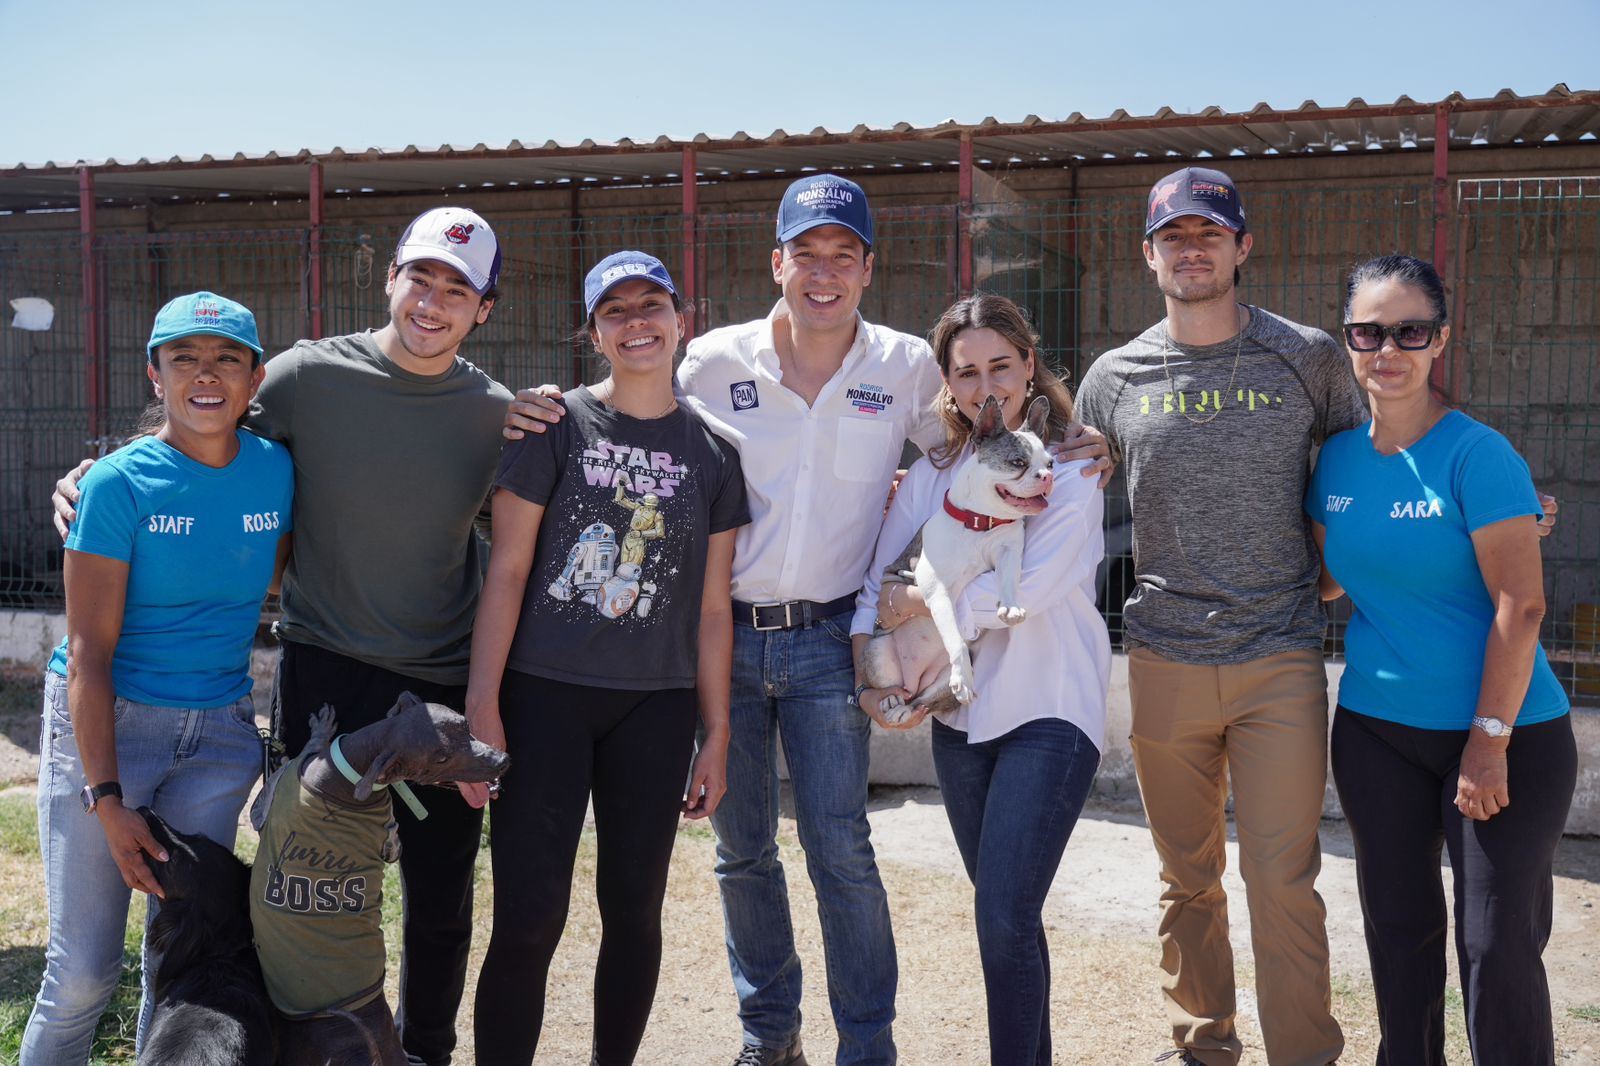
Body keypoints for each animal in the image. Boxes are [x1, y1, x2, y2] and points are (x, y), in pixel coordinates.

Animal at [249, 694, 505, 1056]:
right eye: (441, 758)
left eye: (467, 726)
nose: (502, 760)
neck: (348, 771)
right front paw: (320, 735)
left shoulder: (265, 804)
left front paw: (319, 734)